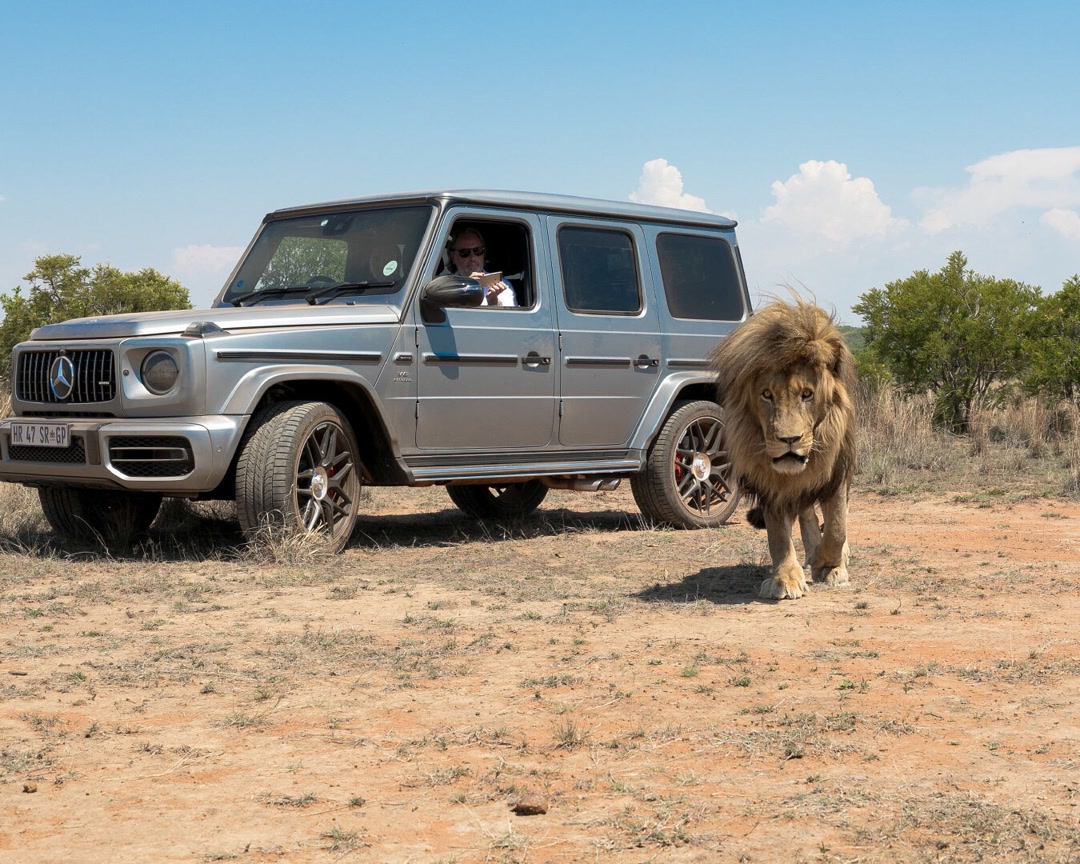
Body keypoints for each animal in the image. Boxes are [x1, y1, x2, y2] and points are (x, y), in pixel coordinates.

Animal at [712, 298, 855, 600]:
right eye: (767, 395)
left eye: (807, 394)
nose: (789, 438)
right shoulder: (771, 485)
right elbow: (778, 535)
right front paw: (785, 578)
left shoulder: (836, 473)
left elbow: (837, 526)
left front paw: (829, 565)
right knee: (807, 514)